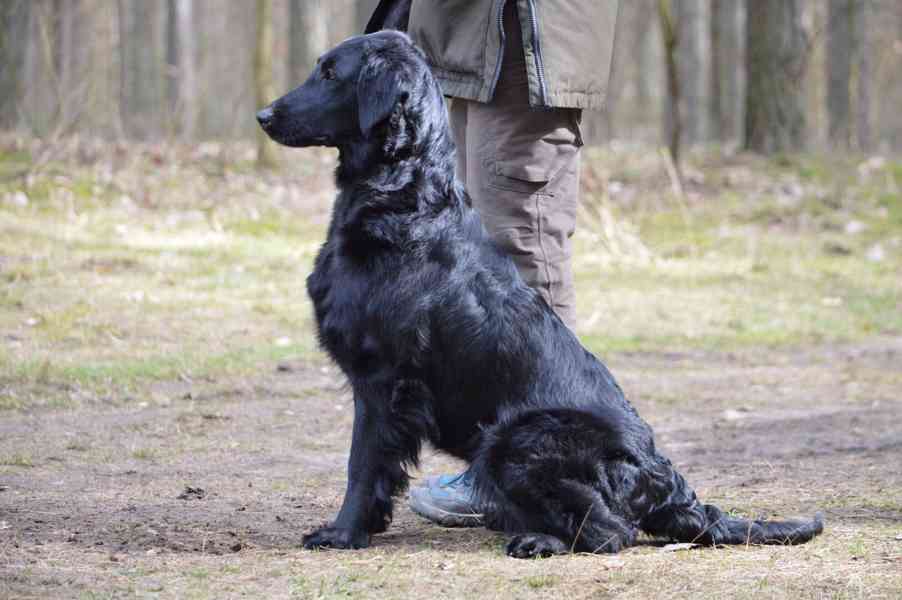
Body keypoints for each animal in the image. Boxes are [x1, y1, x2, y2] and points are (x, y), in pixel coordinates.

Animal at [256, 31, 828, 556]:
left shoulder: (382, 378)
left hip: (512, 440)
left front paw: (342, 533)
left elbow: (362, 464)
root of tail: (665, 482)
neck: (406, 198)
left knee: (612, 532)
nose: (263, 115)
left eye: (330, 73)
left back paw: (537, 541)